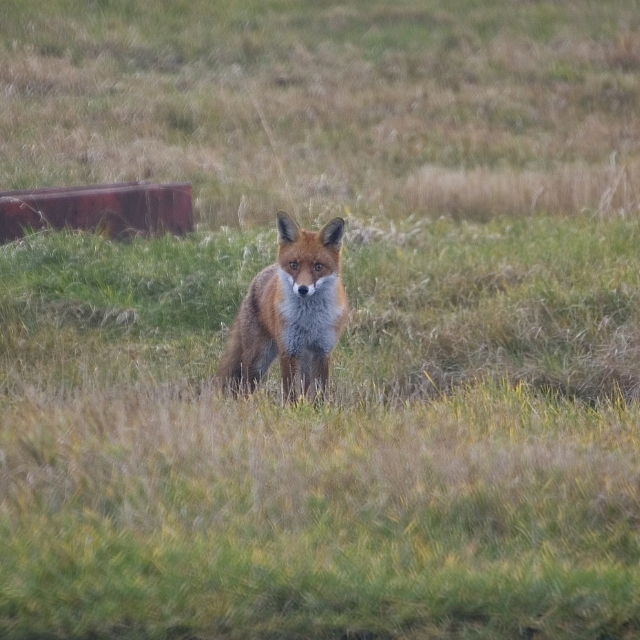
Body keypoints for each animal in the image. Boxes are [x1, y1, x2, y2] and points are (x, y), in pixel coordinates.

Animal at [215, 211, 348, 400]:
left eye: (318, 267)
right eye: (294, 265)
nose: (303, 289)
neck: (309, 321)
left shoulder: (322, 351)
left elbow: (319, 391)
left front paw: (316, 407)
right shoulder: (288, 350)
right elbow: (290, 392)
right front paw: (292, 407)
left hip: (303, 360)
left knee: (304, 385)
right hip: (258, 359)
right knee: (245, 384)